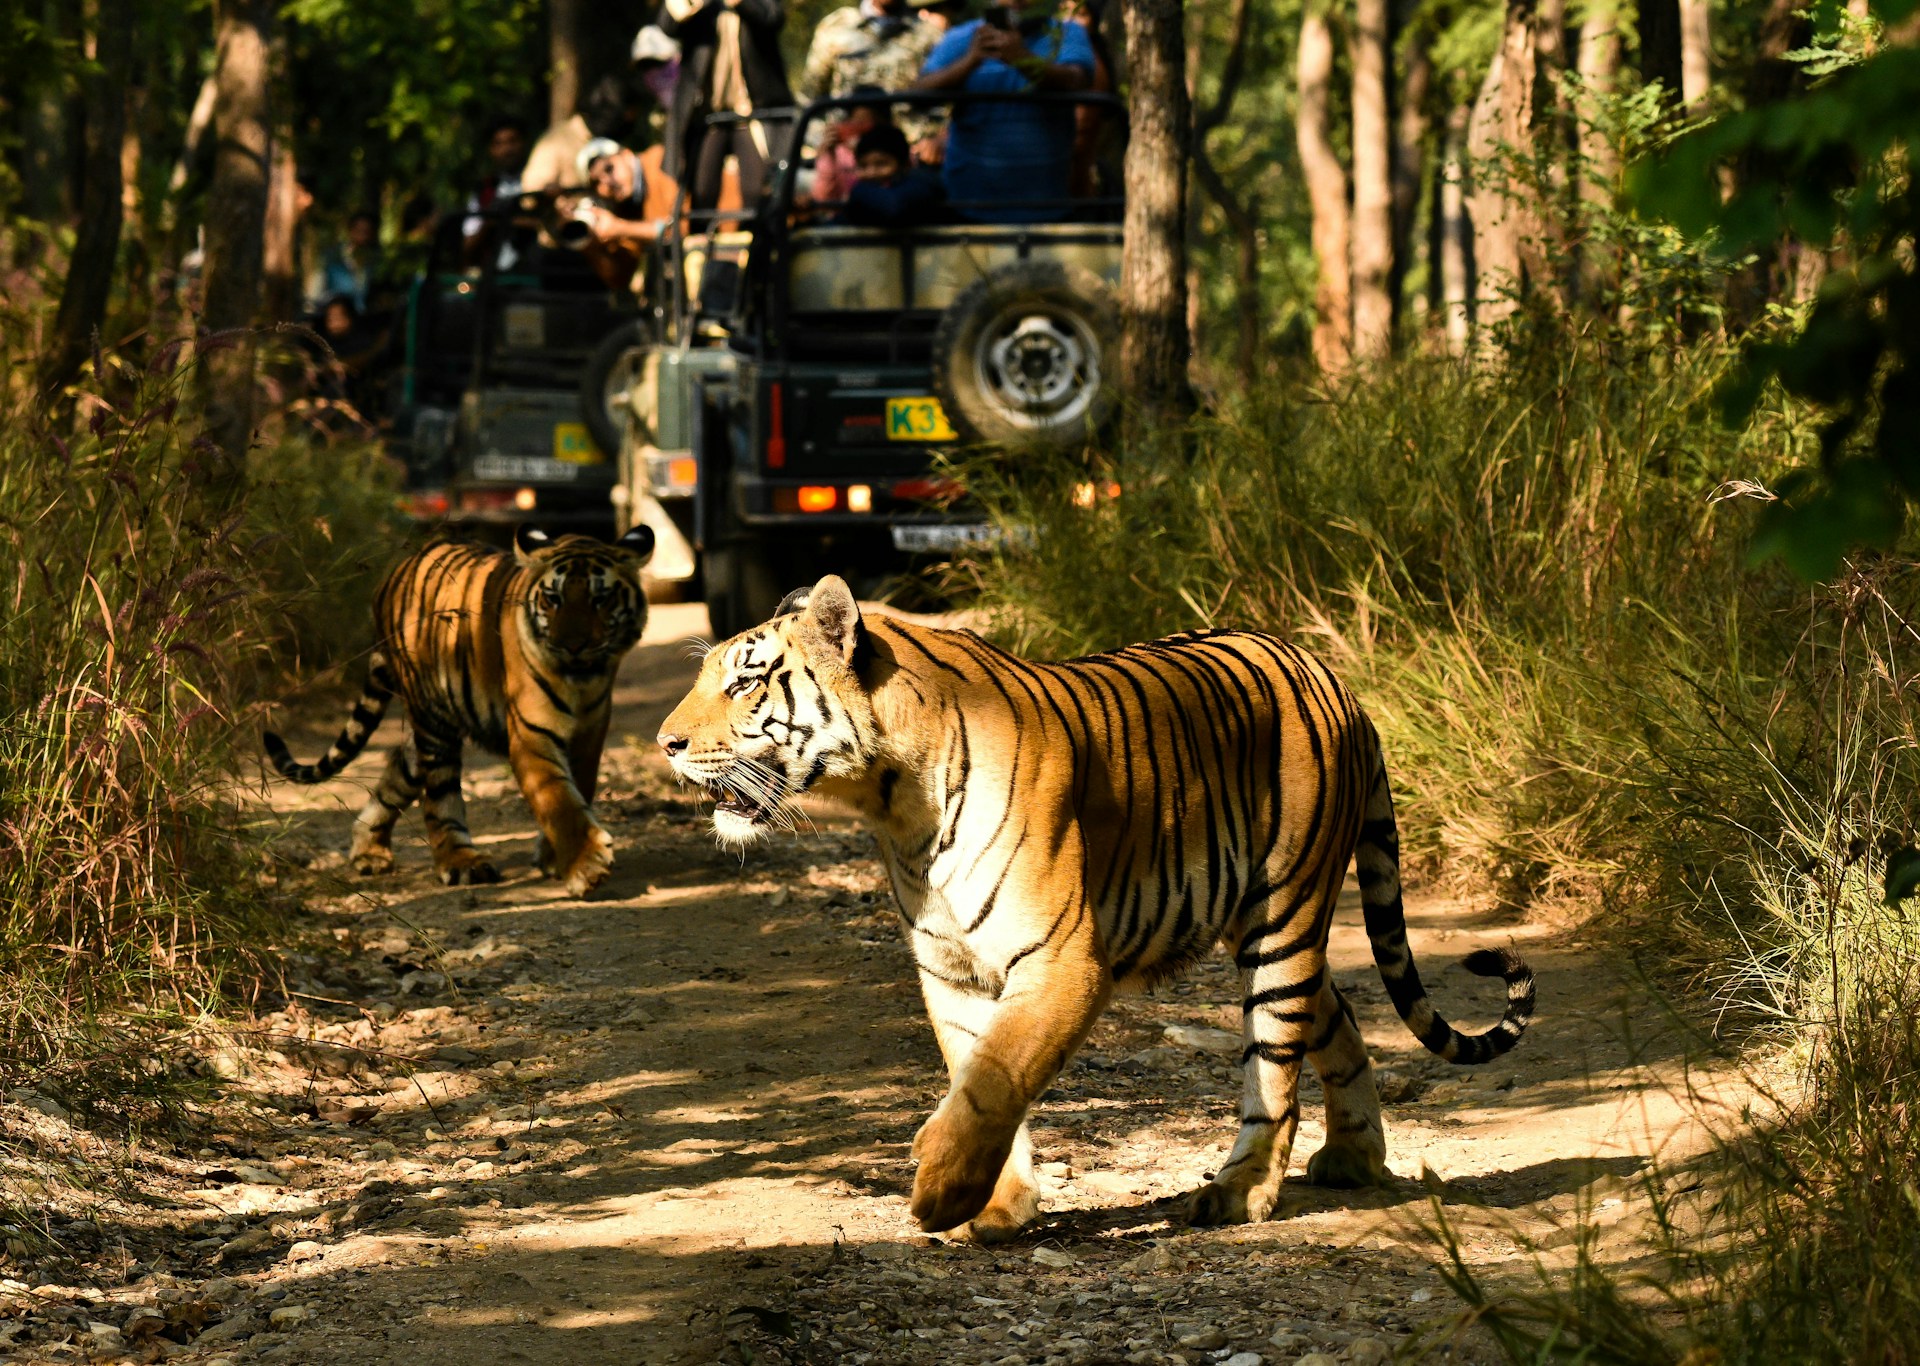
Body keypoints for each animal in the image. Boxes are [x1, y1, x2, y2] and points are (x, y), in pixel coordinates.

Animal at [265, 525, 655, 897]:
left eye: (600, 599)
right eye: (553, 599)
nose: (573, 646)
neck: (581, 682)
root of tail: (395, 573)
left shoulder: (590, 731)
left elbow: (579, 789)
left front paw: (553, 858)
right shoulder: (532, 733)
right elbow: (557, 800)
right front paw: (585, 867)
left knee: (399, 769)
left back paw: (369, 851)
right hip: (433, 721)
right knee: (438, 797)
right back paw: (460, 862)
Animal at [657, 575, 1535, 1241]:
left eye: (744, 681)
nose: (666, 743)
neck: (893, 802)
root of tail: (1335, 681)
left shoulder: (1061, 958)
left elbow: (997, 1077)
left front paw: (940, 1191)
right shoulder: (952, 968)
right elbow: (977, 1071)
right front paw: (996, 1204)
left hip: (1283, 918)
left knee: (1274, 1064)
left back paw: (1240, 1191)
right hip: (1266, 926)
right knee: (1339, 1018)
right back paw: (1353, 1158)